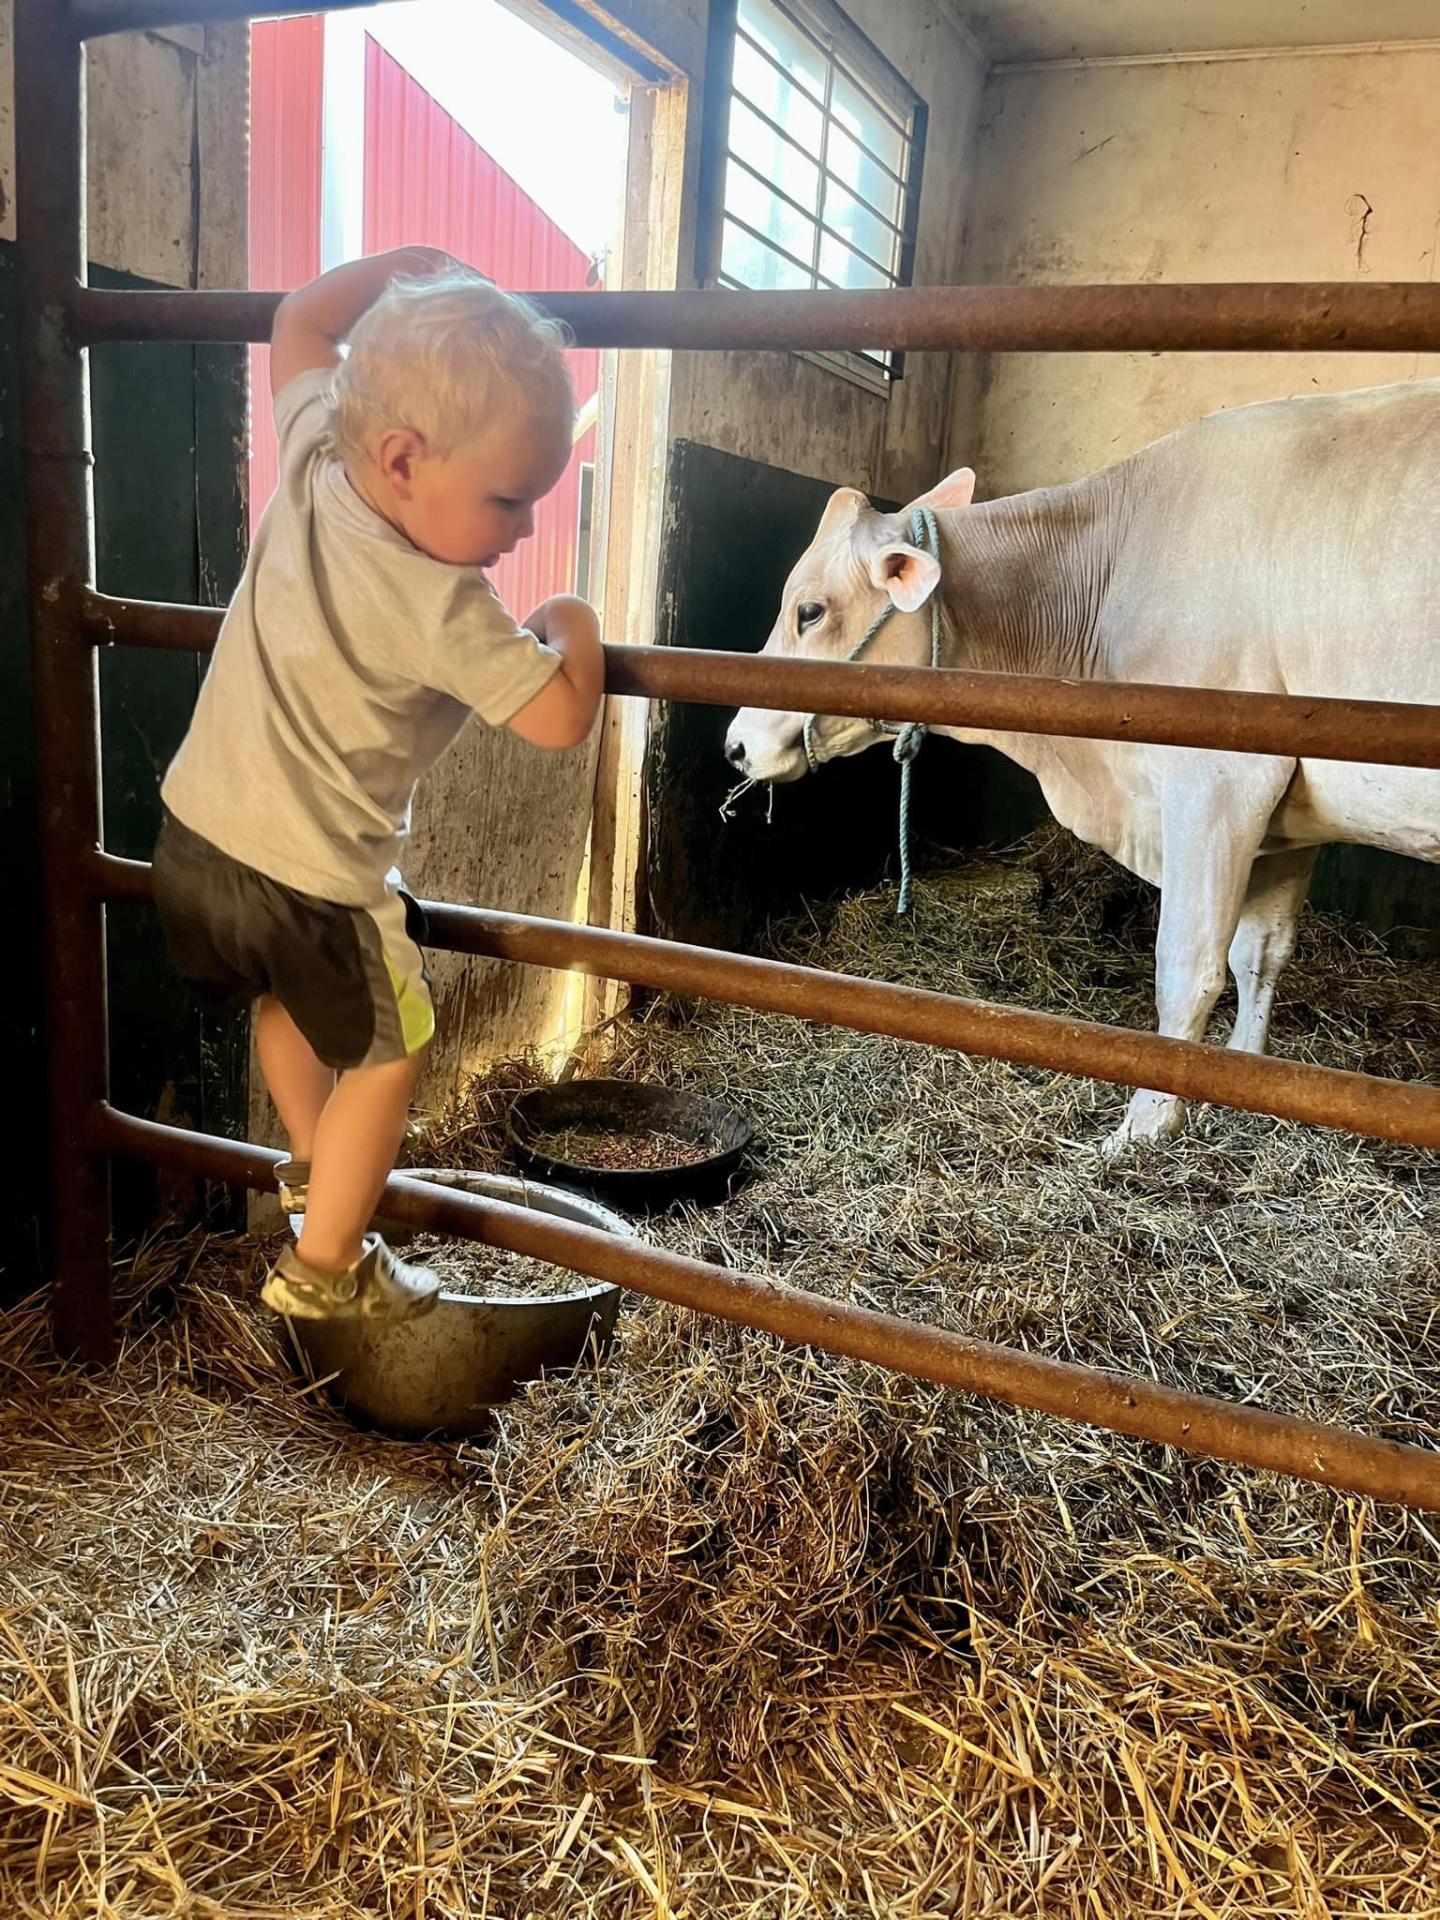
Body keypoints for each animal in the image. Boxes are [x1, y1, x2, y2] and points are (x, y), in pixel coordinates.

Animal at [725, 382, 1440, 1144]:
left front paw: (1146, 1126)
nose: (736, 743)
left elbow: (1188, 964)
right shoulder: (1290, 820)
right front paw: (1245, 1079)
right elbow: (1260, 954)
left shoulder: (1219, 783)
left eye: (809, 610)